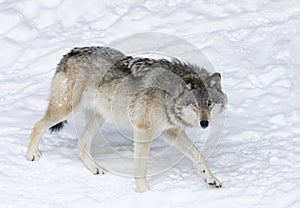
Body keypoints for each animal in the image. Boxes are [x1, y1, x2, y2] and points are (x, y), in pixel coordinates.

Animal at [27, 46, 227, 193]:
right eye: (194, 104)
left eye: (209, 103)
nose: (204, 123)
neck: (167, 95)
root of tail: (69, 53)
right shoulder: (143, 130)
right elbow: (140, 168)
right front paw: (145, 194)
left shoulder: (170, 132)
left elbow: (199, 155)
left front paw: (211, 179)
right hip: (66, 110)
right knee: (37, 126)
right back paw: (32, 155)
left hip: (99, 118)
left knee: (81, 144)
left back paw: (95, 168)